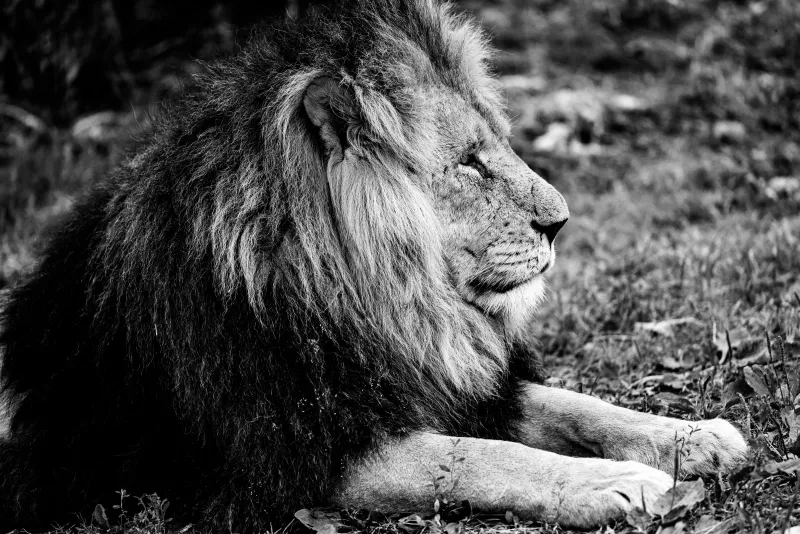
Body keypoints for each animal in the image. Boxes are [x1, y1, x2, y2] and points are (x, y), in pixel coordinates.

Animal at [0, 0, 747, 531]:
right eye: (469, 164)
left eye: (499, 147)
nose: (560, 222)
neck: (377, 305)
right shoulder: (298, 458)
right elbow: (479, 458)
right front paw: (617, 483)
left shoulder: (447, 385)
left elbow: (576, 405)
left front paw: (696, 436)